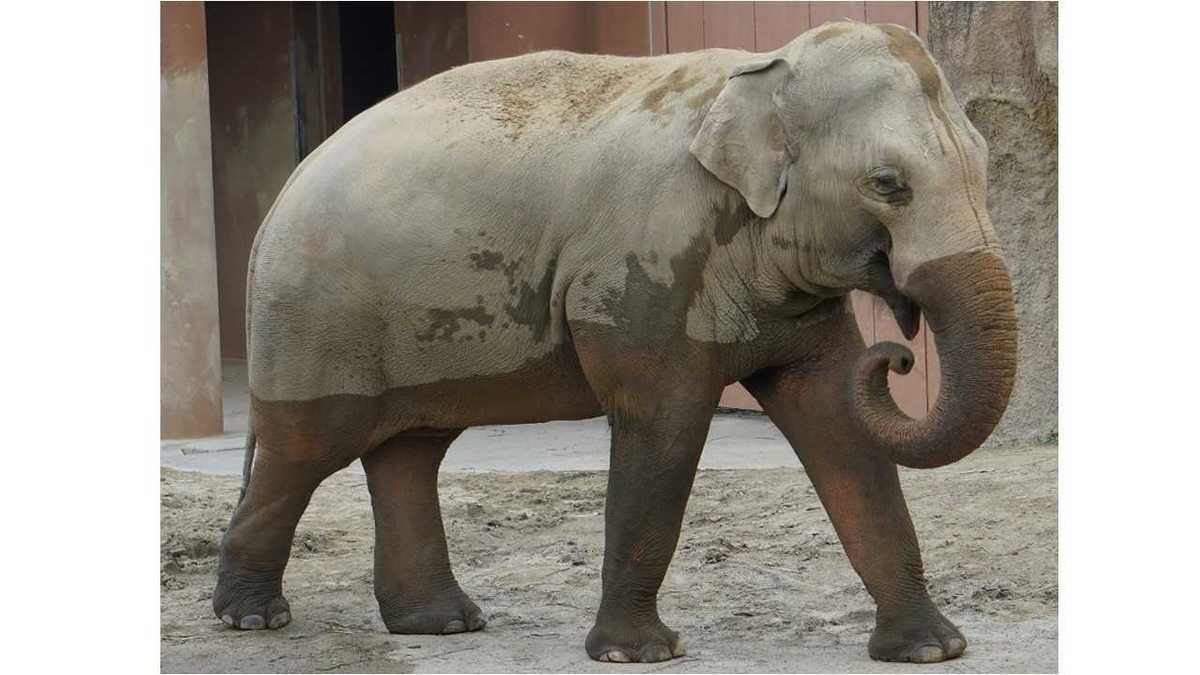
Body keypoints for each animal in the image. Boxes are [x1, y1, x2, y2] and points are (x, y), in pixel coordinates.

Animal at [213, 19, 1012, 662]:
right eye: (888, 183)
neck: (756, 73)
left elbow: (840, 424)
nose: (897, 354)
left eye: (986, 167)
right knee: (308, 446)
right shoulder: (643, 267)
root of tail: (278, 201)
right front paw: (641, 654)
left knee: (409, 449)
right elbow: (664, 427)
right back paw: (253, 618)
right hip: (315, 317)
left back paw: (441, 625)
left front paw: (932, 649)